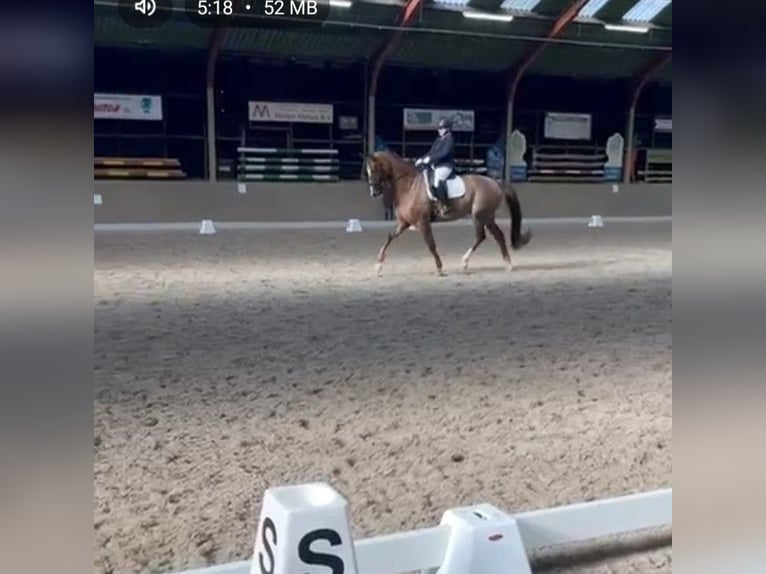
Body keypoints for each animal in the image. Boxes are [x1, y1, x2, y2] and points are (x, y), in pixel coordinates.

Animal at [364, 150, 532, 276]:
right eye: (368, 171)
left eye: (374, 169)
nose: (374, 192)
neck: (409, 186)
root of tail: (496, 183)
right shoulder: (404, 222)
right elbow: (389, 237)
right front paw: (378, 265)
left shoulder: (422, 222)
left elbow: (431, 244)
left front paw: (439, 267)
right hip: (488, 216)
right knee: (498, 236)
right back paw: (508, 264)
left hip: (479, 215)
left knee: (481, 236)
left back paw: (465, 262)